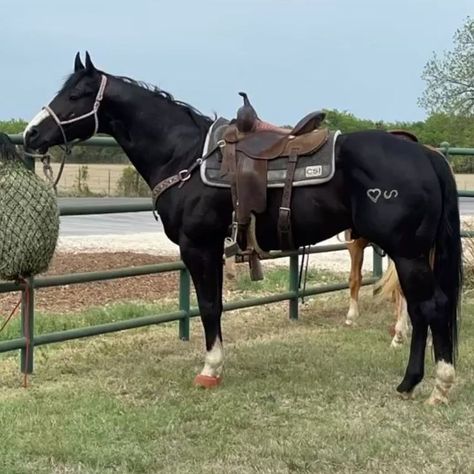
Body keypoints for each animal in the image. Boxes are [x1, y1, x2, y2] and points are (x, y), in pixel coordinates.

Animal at [24, 54, 462, 404]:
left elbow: (208, 305)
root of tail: (426, 155)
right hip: (412, 254)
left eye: (77, 94)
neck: (186, 156)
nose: (30, 133)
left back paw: (439, 387)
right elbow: (215, 304)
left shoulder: (198, 246)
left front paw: (210, 370)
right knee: (420, 309)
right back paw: (409, 383)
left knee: (431, 307)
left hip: (407, 253)